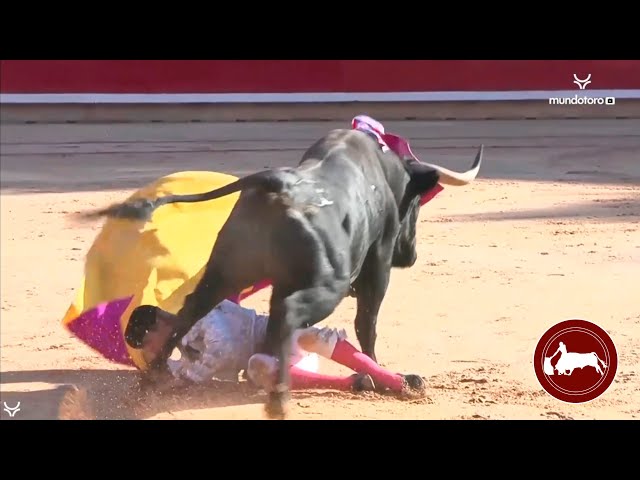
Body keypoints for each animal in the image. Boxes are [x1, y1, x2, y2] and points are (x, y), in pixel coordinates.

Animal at [77, 128, 483, 419]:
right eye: (414, 204)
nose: (410, 255)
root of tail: (277, 184)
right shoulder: (378, 262)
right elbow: (367, 322)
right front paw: (378, 373)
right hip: (329, 285)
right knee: (290, 315)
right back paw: (280, 397)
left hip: (224, 271)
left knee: (191, 313)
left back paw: (152, 382)